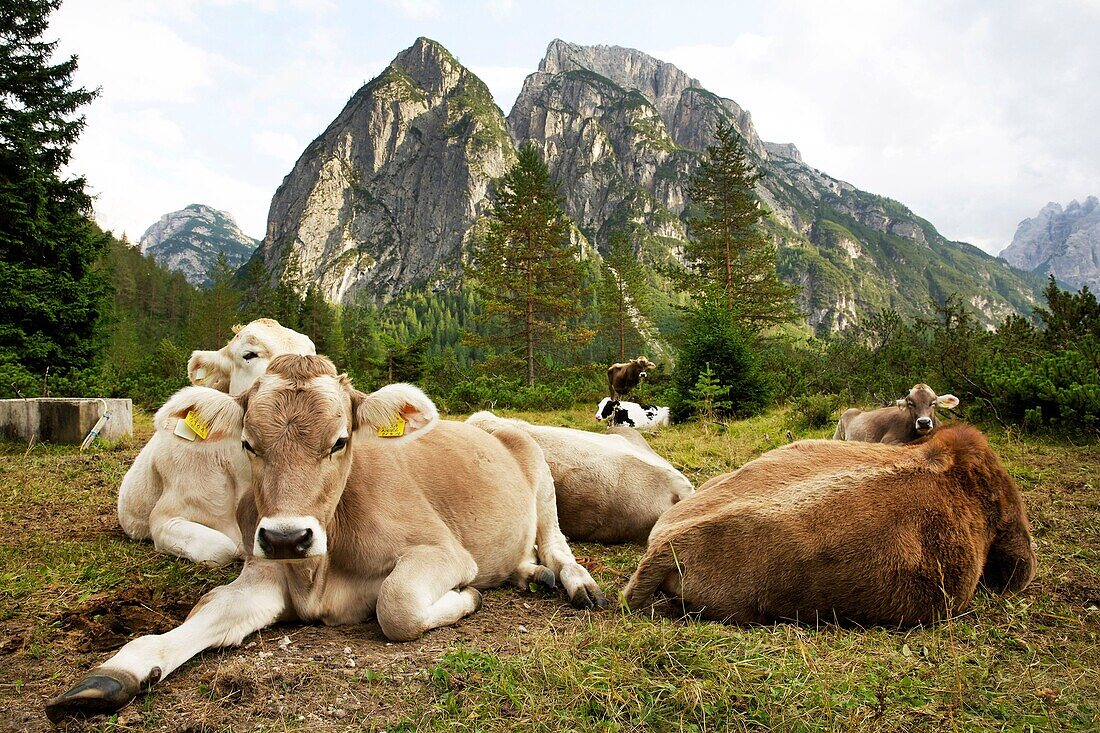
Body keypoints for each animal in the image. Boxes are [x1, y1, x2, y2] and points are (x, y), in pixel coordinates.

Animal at [47, 354, 607, 717]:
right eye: (248, 444)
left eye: (339, 441)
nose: (287, 537)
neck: (321, 568)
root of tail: (487, 422)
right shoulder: (265, 574)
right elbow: (208, 611)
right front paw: (120, 670)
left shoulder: (444, 550)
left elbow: (396, 605)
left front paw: (464, 599)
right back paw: (531, 576)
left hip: (540, 475)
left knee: (556, 545)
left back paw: (574, 583)